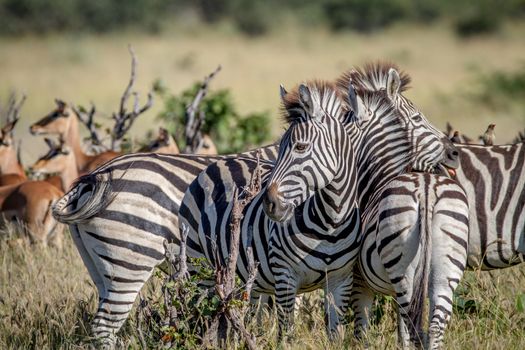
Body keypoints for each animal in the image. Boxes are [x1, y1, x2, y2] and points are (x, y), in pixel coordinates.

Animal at [180, 80, 360, 338]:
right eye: (279, 147)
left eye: (301, 147)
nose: (269, 203)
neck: (330, 224)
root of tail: (219, 161)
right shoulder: (285, 276)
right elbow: (286, 335)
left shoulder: (341, 280)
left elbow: (335, 334)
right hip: (199, 265)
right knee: (199, 317)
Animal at [354, 173, 468, 350]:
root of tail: (427, 189)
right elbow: (401, 329)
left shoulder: (359, 279)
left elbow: (361, 326)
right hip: (446, 270)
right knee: (434, 327)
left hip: (403, 272)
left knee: (415, 328)